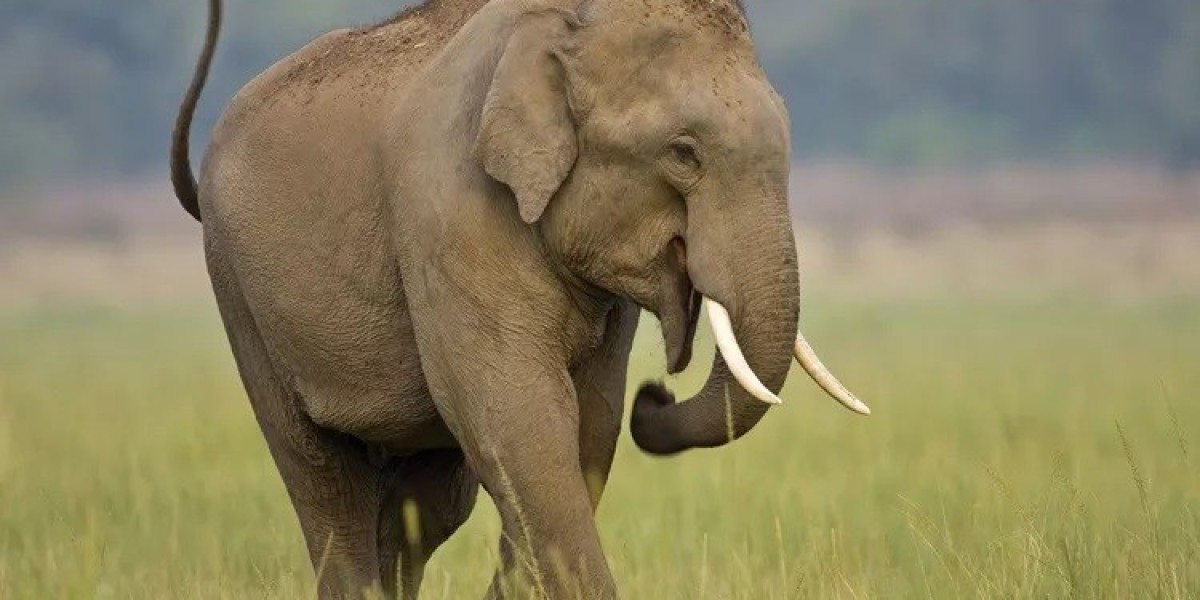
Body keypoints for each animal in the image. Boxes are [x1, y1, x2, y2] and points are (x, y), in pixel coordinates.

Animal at [169, 0, 870, 598]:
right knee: (323, 480)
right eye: (683, 153)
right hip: (238, 292)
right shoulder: (453, 215)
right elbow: (523, 423)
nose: (656, 395)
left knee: (426, 505)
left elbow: (587, 429)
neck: (563, 27)